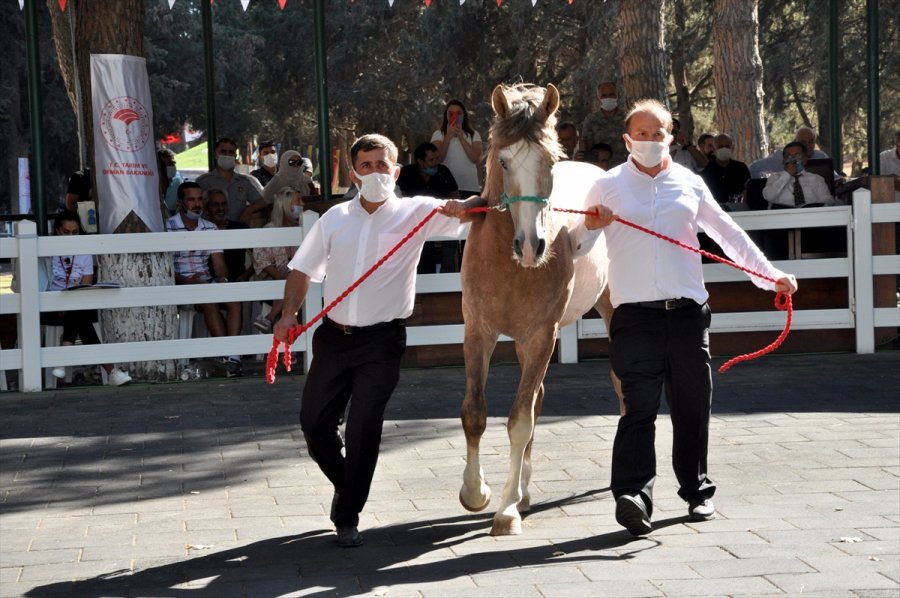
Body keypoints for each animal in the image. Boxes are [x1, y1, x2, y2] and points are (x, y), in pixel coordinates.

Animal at [458, 82, 620, 536]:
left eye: (550, 161)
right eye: (504, 160)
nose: (532, 246)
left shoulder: (541, 337)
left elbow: (519, 421)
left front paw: (506, 511)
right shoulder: (478, 332)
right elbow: (475, 414)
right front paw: (477, 493)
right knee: (538, 399)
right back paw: (524, 492)